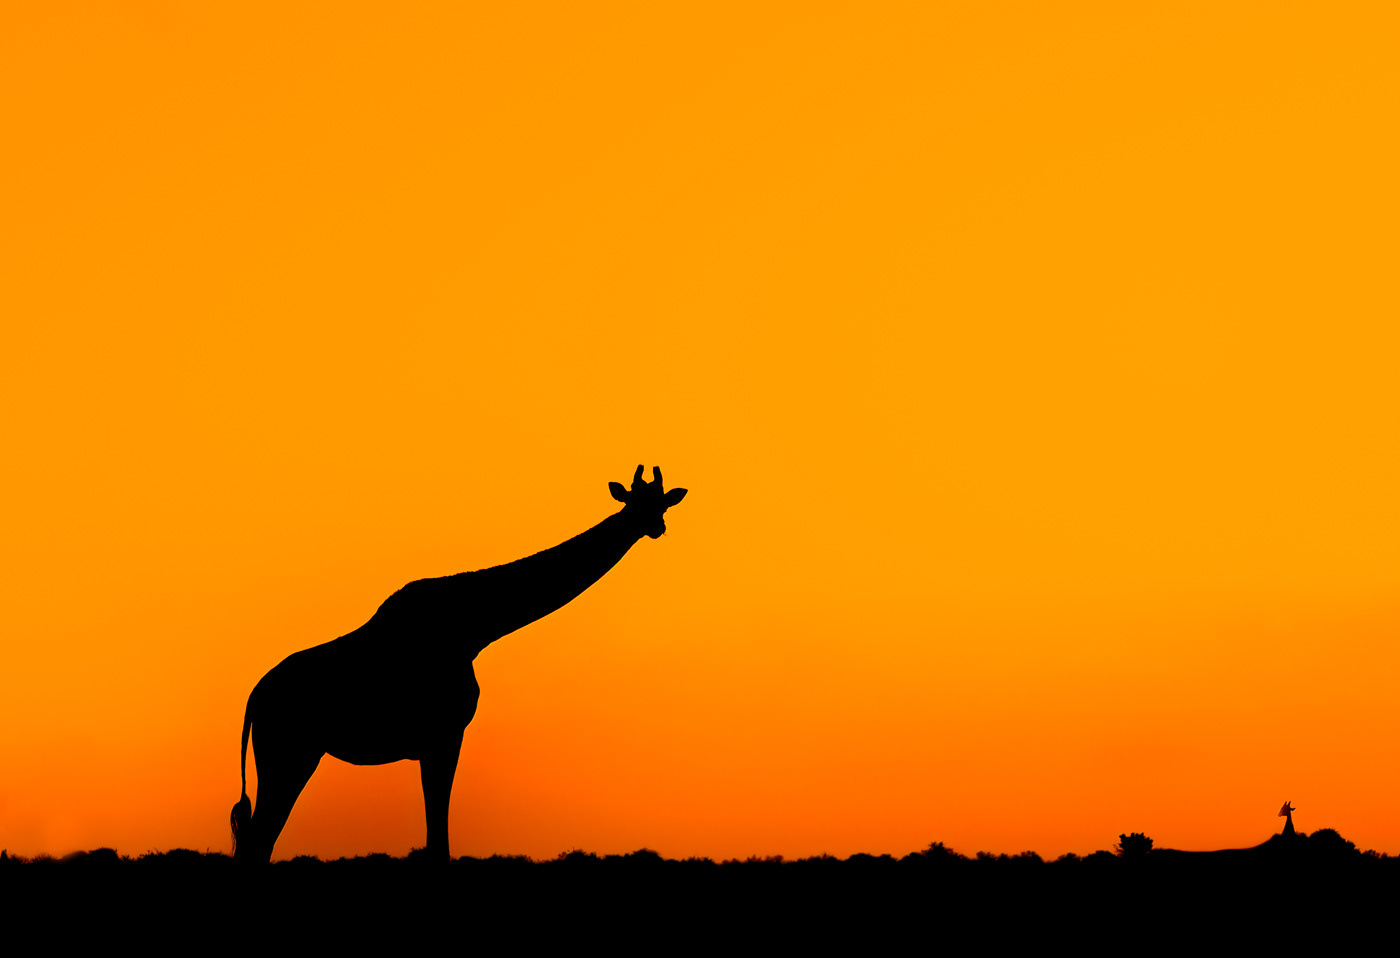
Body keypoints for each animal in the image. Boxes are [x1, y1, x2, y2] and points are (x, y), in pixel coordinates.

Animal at [230, 465, 687, 863]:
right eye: (634, 501)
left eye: (662, 502)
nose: (655, 527)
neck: (474, 628)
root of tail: (255, 698)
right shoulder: (444, 734)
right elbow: (438, 838)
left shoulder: (437, 739)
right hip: (289, 750)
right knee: (259, 837)